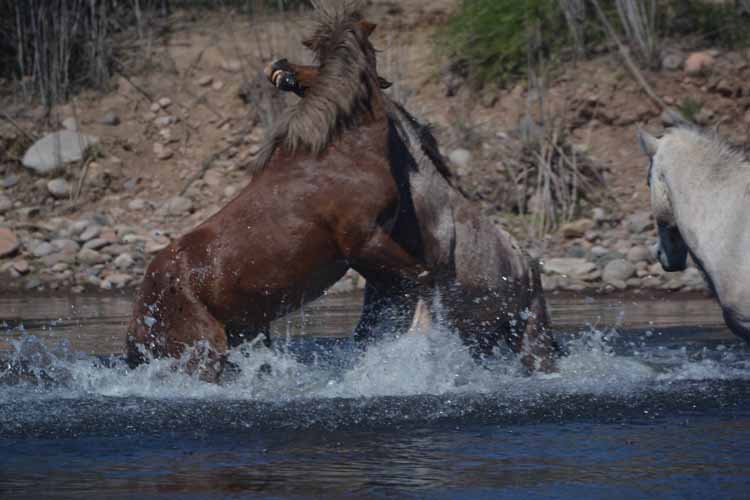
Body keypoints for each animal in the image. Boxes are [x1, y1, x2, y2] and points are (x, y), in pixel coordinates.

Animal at [126, 3, 432, 380]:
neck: (344, 152)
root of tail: (138, 323)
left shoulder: (367, 253)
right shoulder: (364, 241)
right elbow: (422, 278)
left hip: (246, 331)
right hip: (203, 352)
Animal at [268, 57, 560, 372]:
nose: (281, 65)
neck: (418, 212)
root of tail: (530, 267)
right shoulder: (382, 301)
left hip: (531, 336)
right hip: (483, 335)